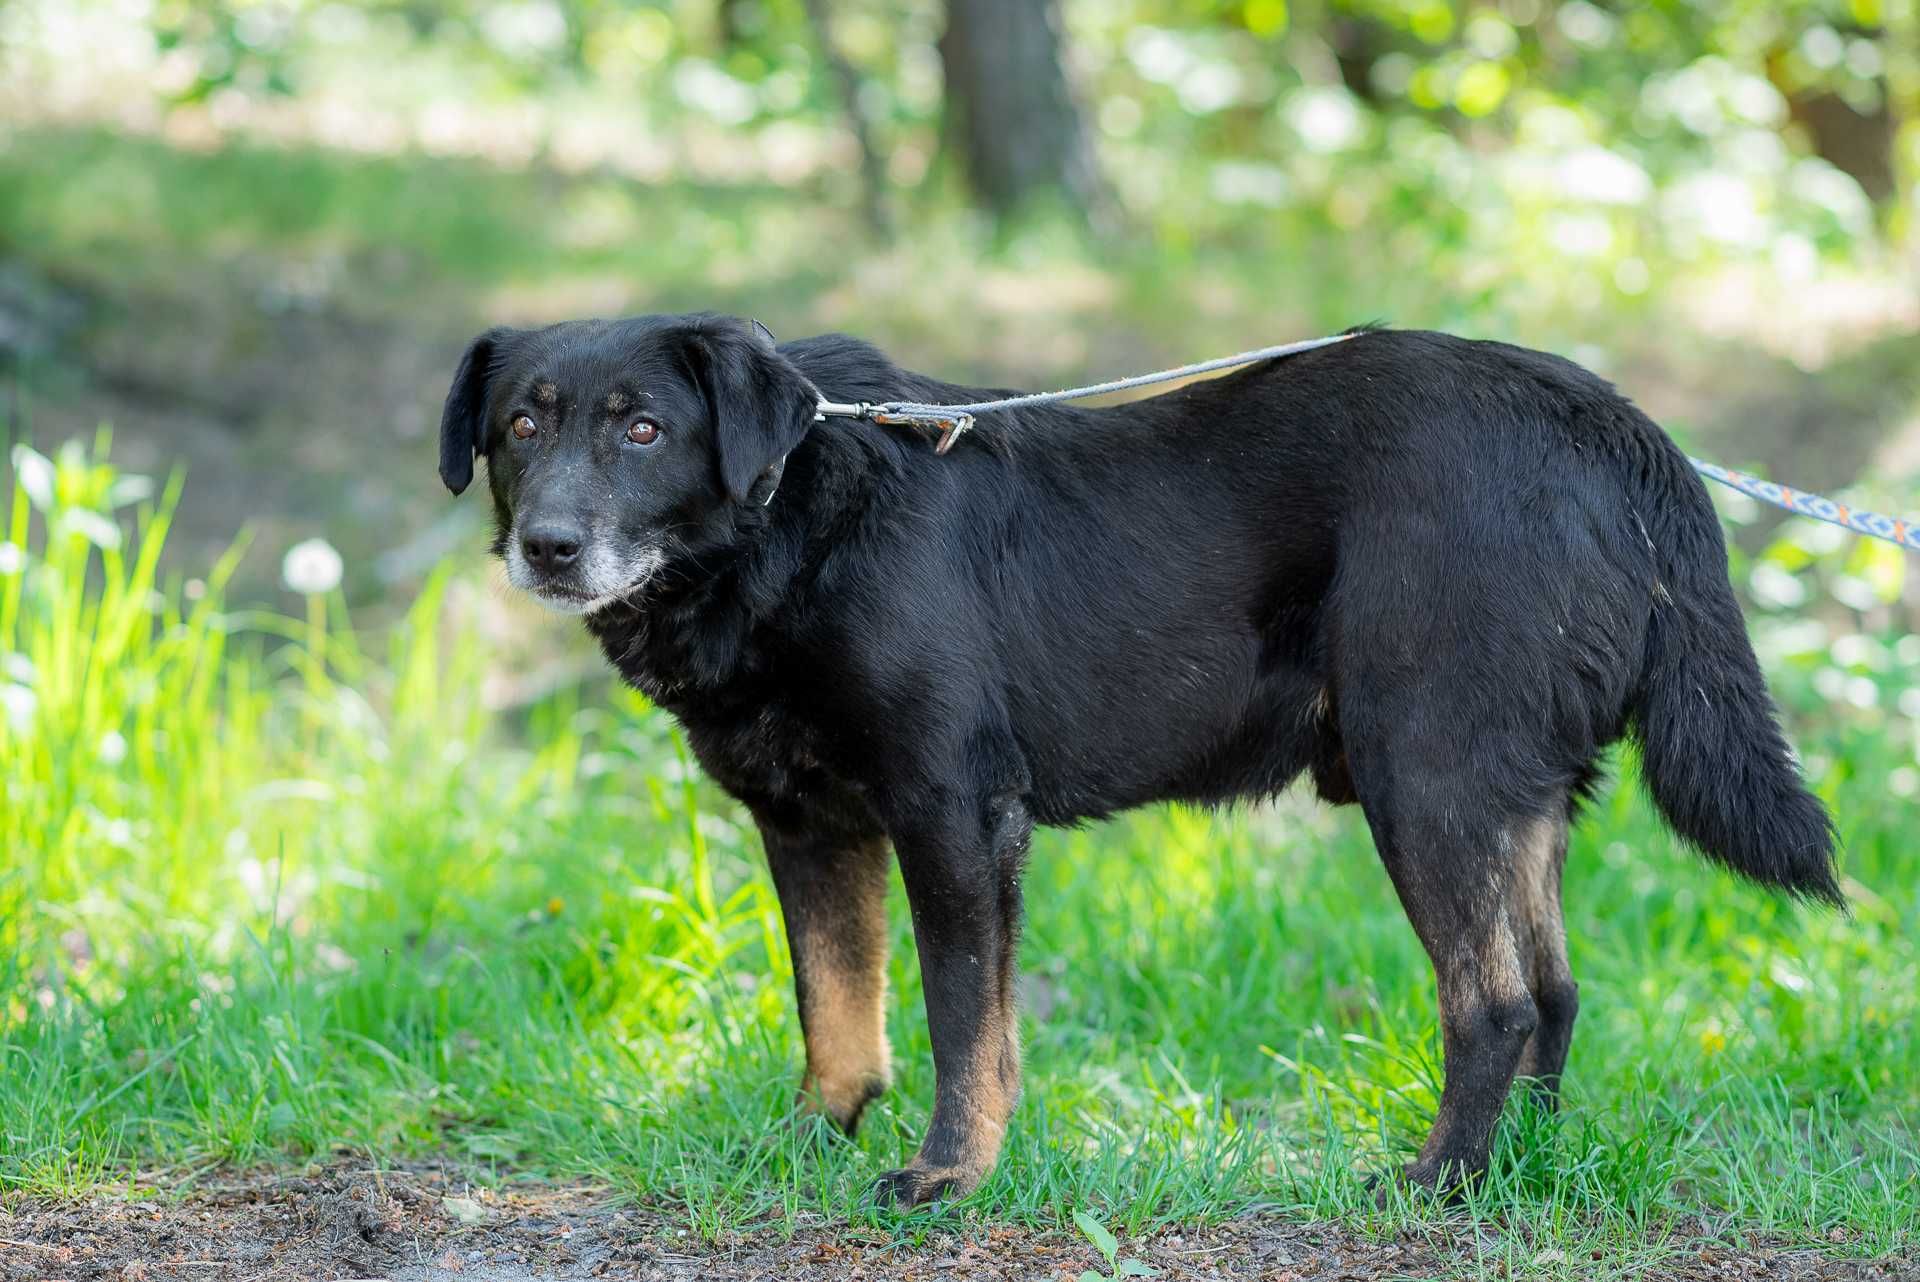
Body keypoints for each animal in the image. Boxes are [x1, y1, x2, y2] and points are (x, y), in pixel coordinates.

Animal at [435, 314, 1827, 1205]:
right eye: (520, 426)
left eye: (643, 430)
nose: (548, 548)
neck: (791, 525)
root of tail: (1607, 424)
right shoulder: (810, 825)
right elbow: (835, 1004)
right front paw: (814, 1136)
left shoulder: (957, 815)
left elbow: (963, 1023)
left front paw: (949, 1173)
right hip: (1511, 794)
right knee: (1557, 990)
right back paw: (1518, 1173)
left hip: (1424, 774)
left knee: (1494, 1000)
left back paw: (1436, 1184)